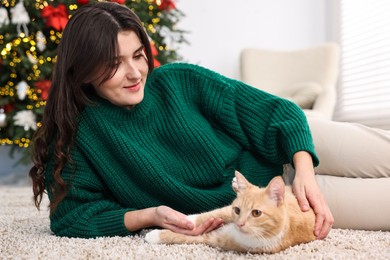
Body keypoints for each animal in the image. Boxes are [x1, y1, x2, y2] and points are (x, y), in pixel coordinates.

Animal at [145, 172, 316, 253]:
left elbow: (182, 237)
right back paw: (236, 183)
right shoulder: (227, 211)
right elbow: (208, 215)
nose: (239, 224)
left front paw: (153, 235)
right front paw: (186, 220)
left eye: (256, 213)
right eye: (237, 210)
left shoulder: (214, 239)